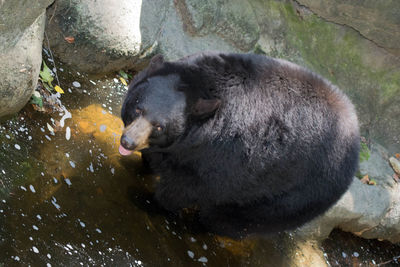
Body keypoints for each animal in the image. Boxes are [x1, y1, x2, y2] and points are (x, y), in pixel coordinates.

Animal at [118, 52, 360, 239]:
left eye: (160, 126)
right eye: (138, 109)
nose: (127, 141)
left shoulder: (221, 156)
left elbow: (186, 187)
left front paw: (147, 200)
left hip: (296, 193)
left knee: (232, 217)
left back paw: (202, 225)